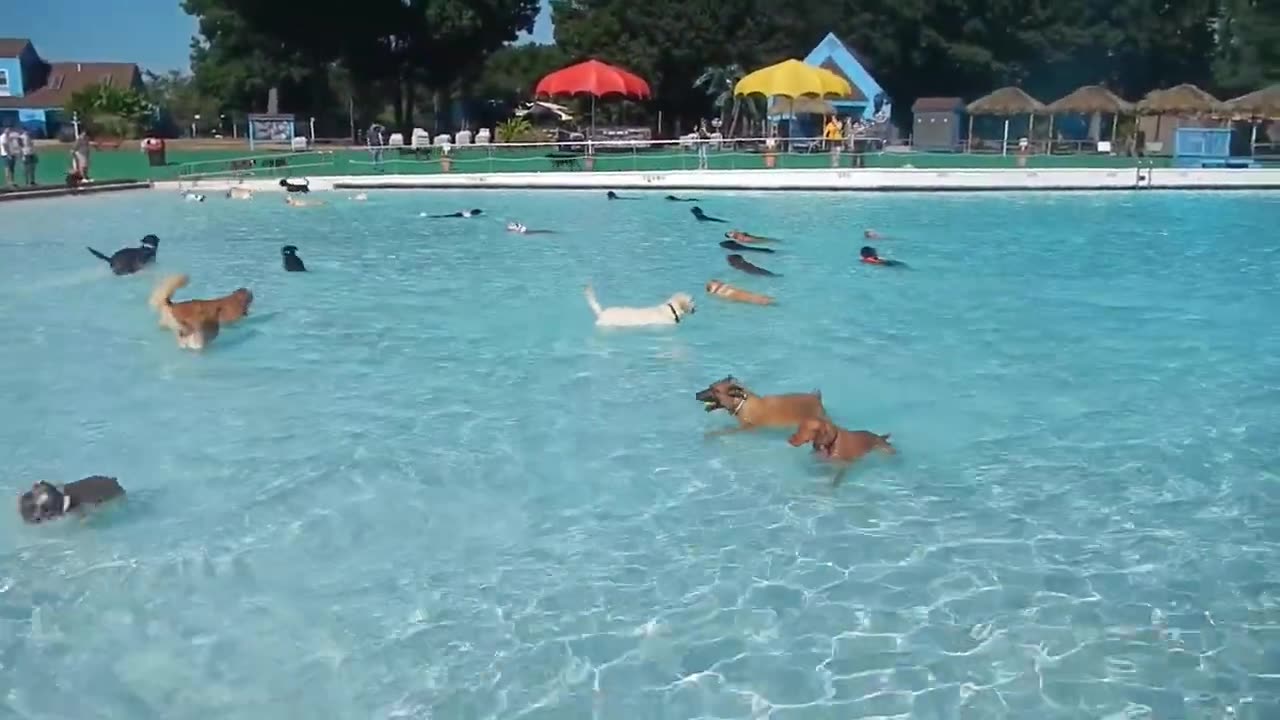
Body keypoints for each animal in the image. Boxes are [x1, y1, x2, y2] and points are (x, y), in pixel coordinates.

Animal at [696, 371, 824, 435]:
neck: (742, 402)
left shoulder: (746, 428)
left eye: (715, 390)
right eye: (710, 386)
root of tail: (816, 397)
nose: (697, 394)